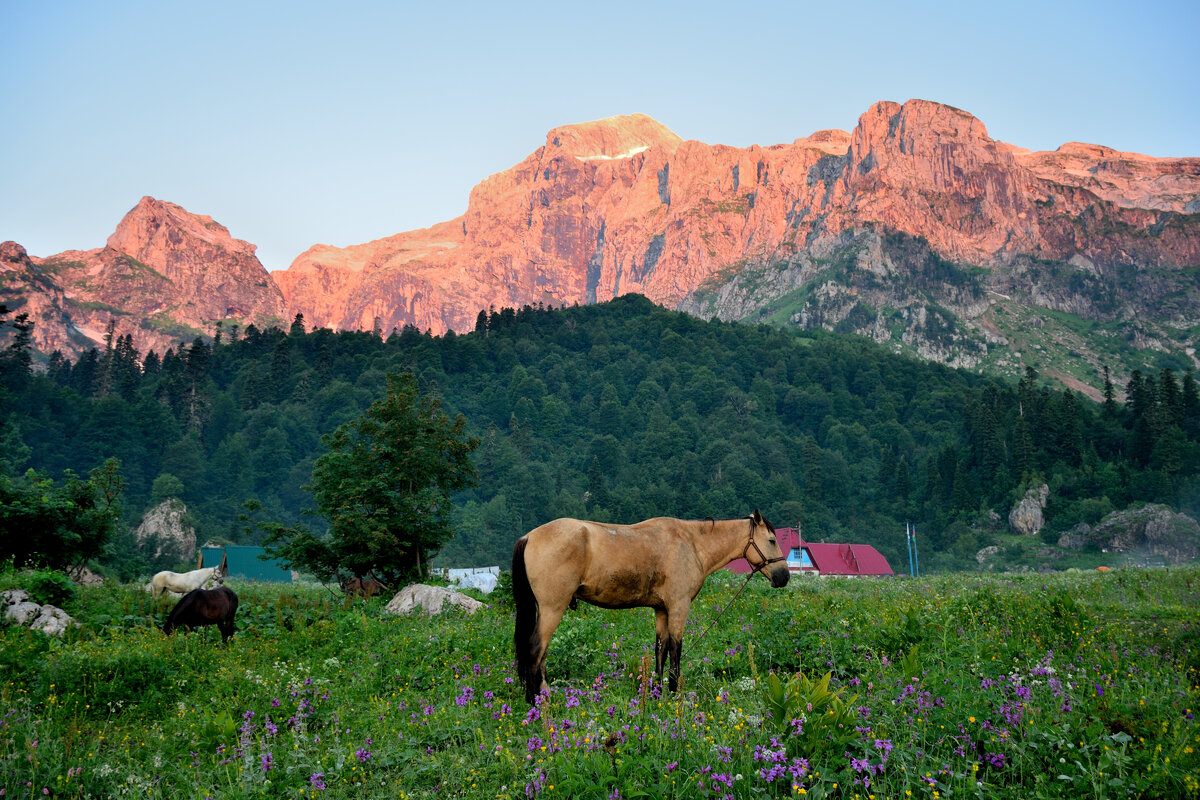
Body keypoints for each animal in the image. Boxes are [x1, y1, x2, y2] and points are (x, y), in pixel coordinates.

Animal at [513, 510, 787, 705]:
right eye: (772, 540)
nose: (784, 576)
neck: (691, 543)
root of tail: (529, 536)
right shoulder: (678, 608)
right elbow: (675, 650)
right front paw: (674, 694)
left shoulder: (662, 610)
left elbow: (660, 651)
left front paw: (657, 692)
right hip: (552, 609)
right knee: (535, 649)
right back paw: (535, 701)